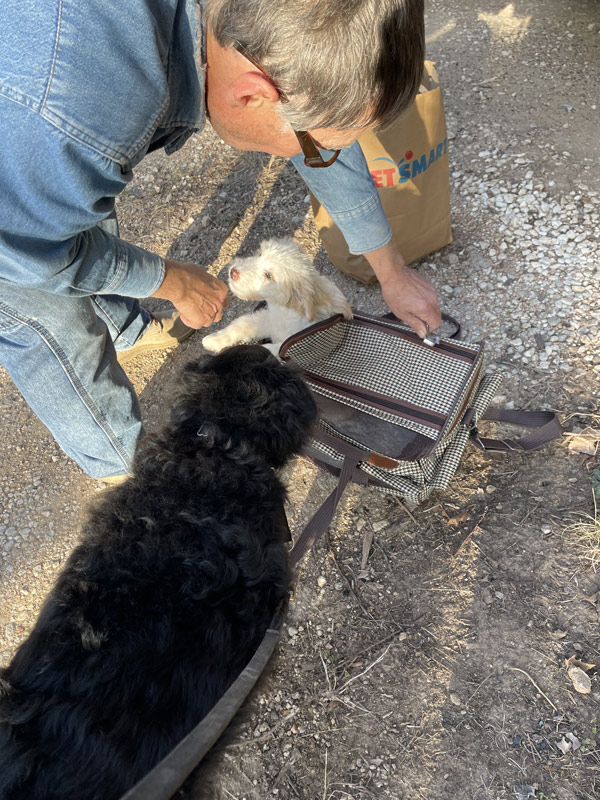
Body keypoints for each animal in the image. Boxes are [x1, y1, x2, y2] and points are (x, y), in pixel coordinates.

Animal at [203, 238, 352, 356]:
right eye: (260, 253)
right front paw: (213, 340)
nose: (233, 272)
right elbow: (242, 324)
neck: (286, 311)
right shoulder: (267, 319)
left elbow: (270, 349)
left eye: (269, 275)